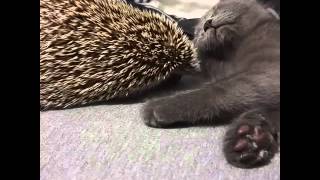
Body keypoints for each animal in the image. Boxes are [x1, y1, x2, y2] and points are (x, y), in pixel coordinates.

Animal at [142, 0, 280, 169]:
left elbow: (218, 90)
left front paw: (158, 106)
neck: (229, 57)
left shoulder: (268, 71)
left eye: (216, 9)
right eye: (199, 29)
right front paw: (248, 139)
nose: (207, 23)